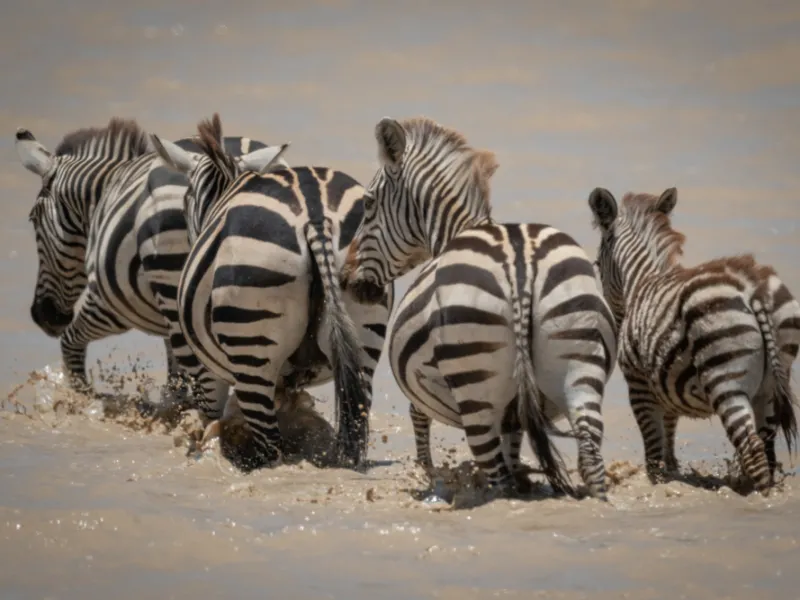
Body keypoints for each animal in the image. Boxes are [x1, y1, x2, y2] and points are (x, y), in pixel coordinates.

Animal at [14, 118, 287, 418]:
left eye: (33, 218)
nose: (44, 317)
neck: (104, 192)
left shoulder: (111, 307)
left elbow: (70, 343)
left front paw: (80, 399)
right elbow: (176, 374)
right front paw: (175, 406)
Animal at [149, 113, 394, 472]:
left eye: (184, 205)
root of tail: (316, 217)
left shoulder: (210, 373)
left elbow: (212, 416)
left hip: (252, 344)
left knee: (270, 449)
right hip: (365, 335)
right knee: (350, 438)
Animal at [341, 116, 617, 501]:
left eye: (367, 205)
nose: (345, 279)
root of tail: (520, 264)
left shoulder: (423, 389)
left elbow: (419, 422)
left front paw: (428, 475)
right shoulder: (515, 413)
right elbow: (514, 445)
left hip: (475, 389)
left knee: (497, 477)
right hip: (580, 361)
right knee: (590, 459)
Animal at [587, 186, 800, 494]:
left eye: (596, 264)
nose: (615, 322)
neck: (642, 280)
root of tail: (753, 288)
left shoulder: (639, 384)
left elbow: (652, 446)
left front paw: (656, 483)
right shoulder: (665, 381)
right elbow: (669, 430)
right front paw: (673, 470)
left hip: (725, 378)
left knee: (752, 448)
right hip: (773, 381)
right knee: (766, 444)